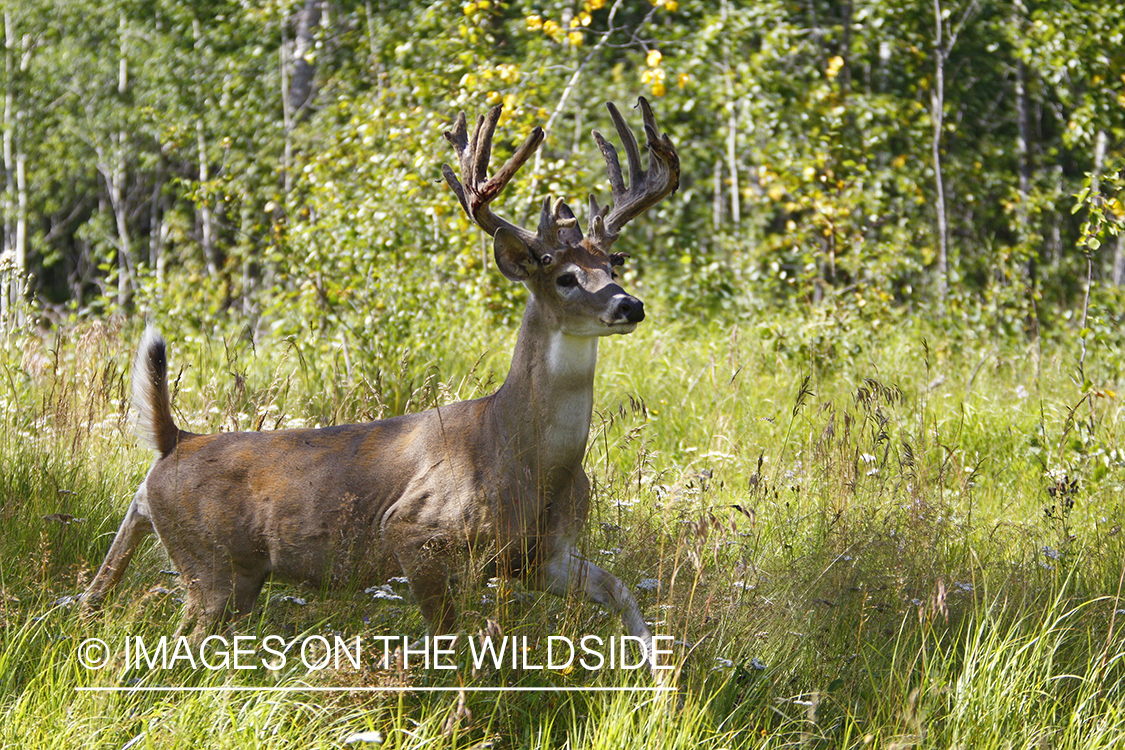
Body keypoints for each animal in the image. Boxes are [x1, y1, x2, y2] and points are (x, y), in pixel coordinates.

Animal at [81, 95, 675, 674]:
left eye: (614, 264)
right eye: (564, 275)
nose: (630, 304)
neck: (523, 453)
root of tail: (174, 441)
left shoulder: (543, 558)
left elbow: (622, 592)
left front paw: (659, 682)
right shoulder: (416, 532)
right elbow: (447, 642)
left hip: (190, 553)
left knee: (105, 596)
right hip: (213, 567)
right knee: (175, 644)